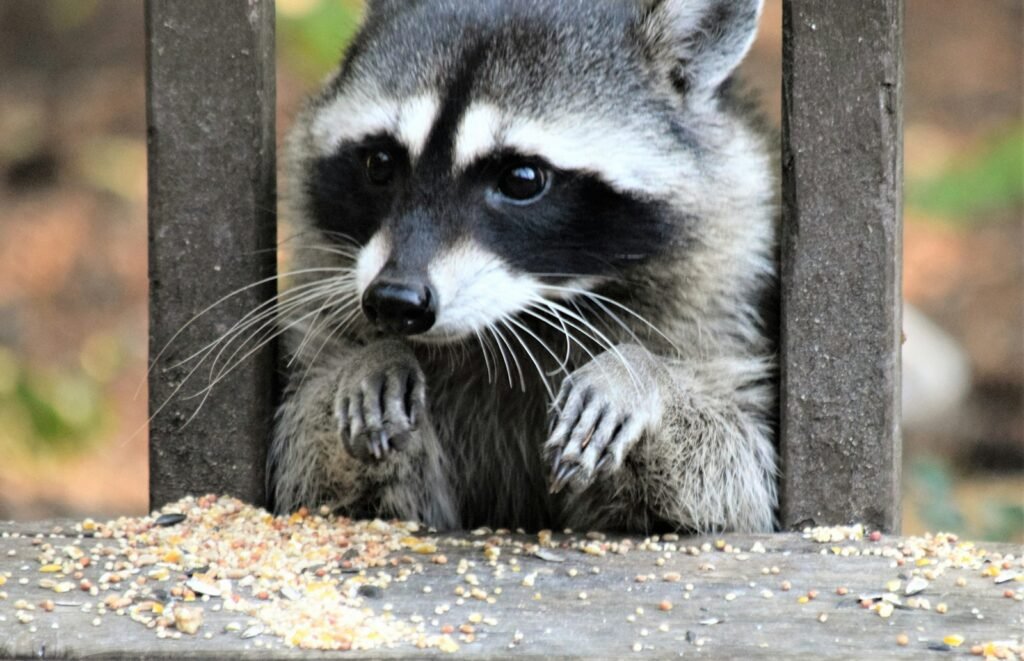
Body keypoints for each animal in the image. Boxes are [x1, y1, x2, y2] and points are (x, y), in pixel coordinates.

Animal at [269, 0, 778, 534]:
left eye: (522, 179)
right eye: (381, 163)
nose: (395, 300)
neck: (510, 326)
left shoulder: (719, 320)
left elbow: (729, 482)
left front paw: (639, 375)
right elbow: (325, 484)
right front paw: (373, 358)